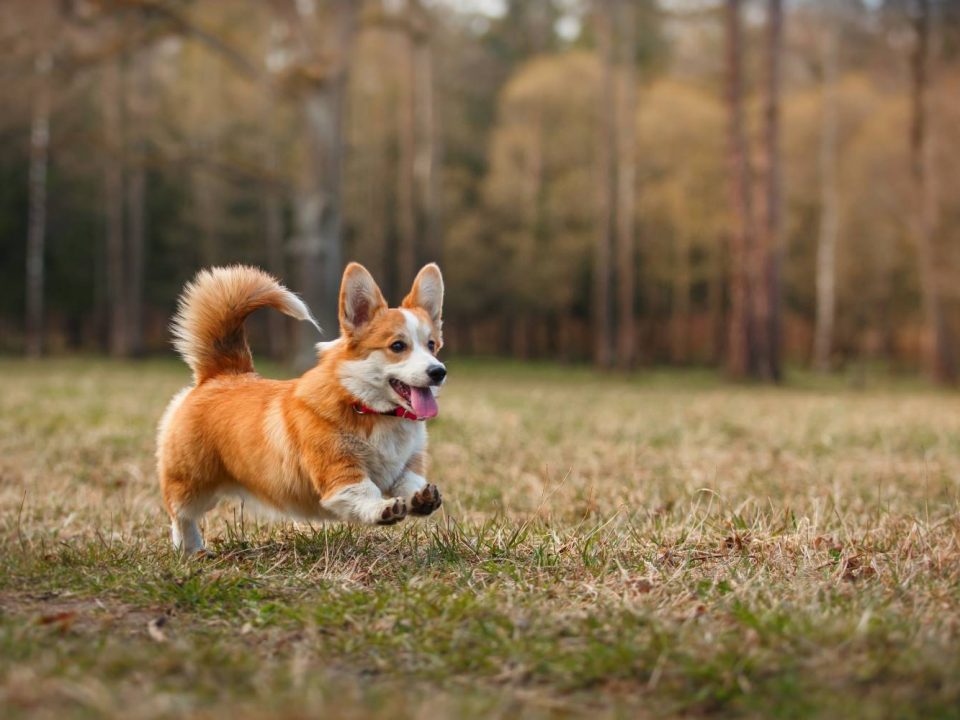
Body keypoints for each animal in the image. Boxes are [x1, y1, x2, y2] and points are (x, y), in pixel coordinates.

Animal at [156, 262, 448, 556]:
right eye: (397, 346)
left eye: (431, 345)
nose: (439, 372)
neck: (370, 408)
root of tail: (220, 374)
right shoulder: (339, 472)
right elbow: (363, 491)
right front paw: (382, 508)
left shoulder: (406, 466)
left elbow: (409, 481)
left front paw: (421, 498)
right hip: (191, 483)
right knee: (180, 514)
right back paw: (191, 550)